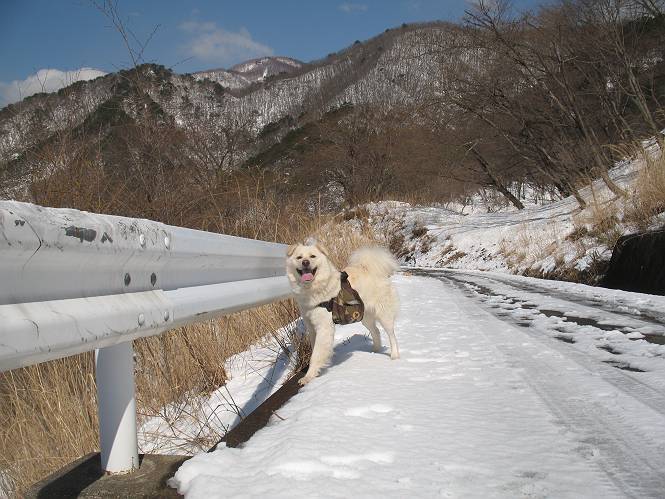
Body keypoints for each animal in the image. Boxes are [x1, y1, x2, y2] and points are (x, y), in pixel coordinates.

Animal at [286, 241, 400, 385]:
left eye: (312, 256)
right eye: (299, 257)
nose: (305, 262)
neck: (313, 288)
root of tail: (371, 269)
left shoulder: (324, 327)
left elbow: (316, 354)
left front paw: (308, 377)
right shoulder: (311, 326)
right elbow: (315, 350)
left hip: (383, 314)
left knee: (391, 335)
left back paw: (394, 356)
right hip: (364, 316)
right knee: (376, 331)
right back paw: (375, 350)